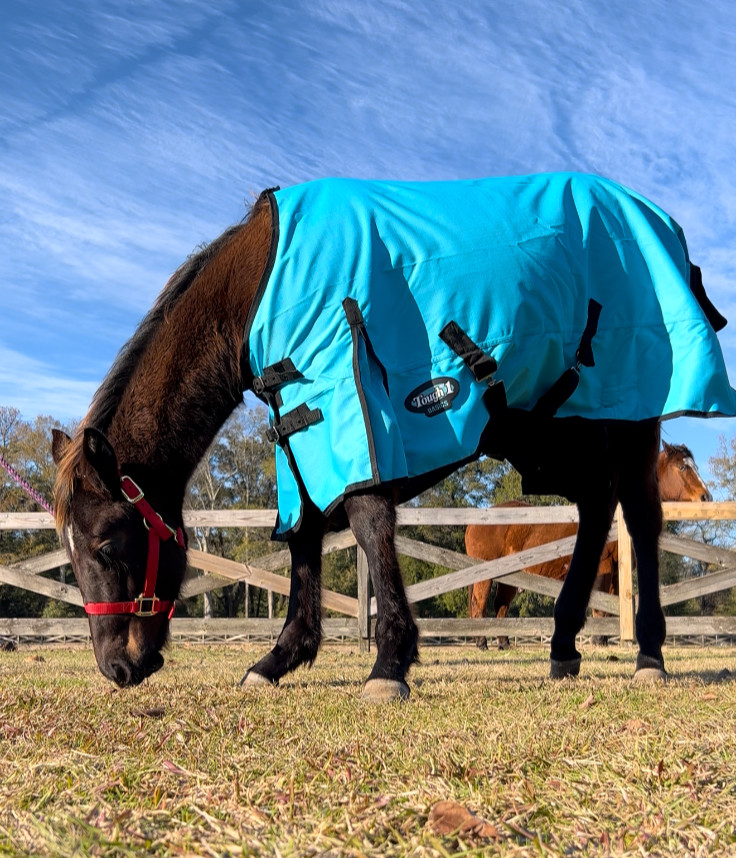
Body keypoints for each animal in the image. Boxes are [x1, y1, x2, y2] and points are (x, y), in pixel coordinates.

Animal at [466, 442, 712, 649]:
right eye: (682, 467)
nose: (706, 497)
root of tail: (475, 522)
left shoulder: (616, 573)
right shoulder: (603, 568)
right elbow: (600, 608)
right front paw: (598, 640)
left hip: (509, 578)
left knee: (501, 606)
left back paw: (503, 642)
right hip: (485, 576)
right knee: (479, 605)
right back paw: (481, 642)